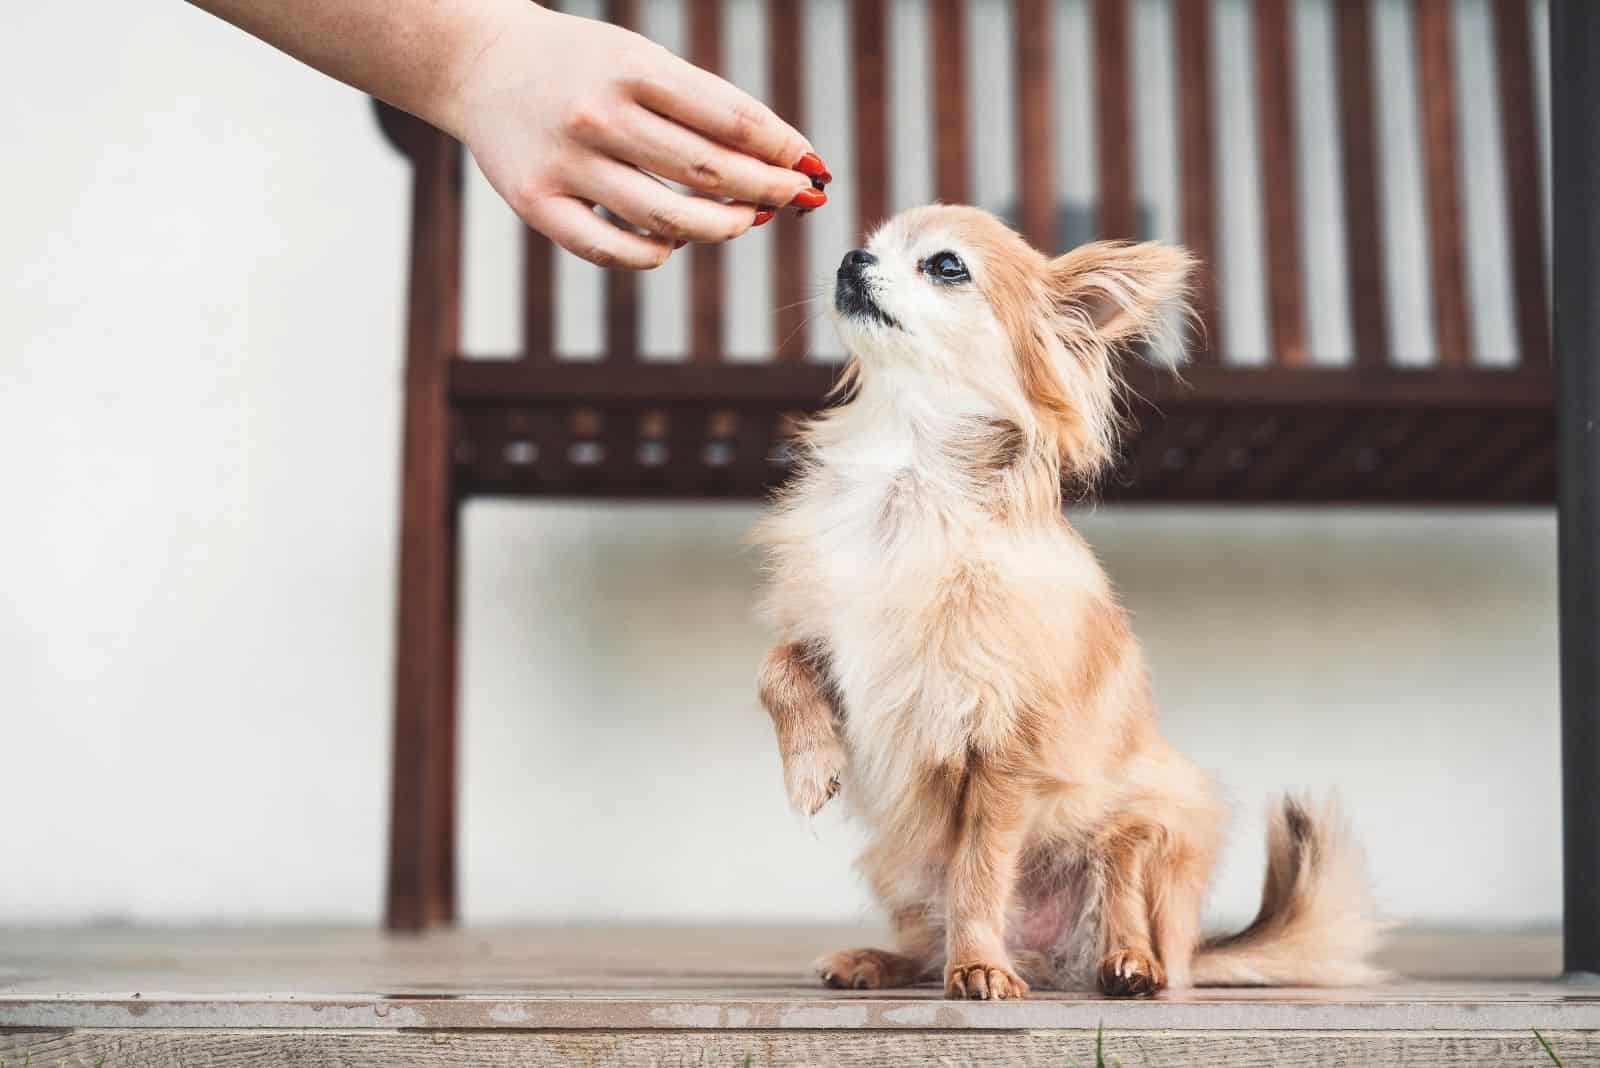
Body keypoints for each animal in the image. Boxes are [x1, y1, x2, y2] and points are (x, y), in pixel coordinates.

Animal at [755, 206, 1382, 1004]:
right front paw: (809, 768)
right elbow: (777, 668)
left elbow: (980, 872)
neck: (909, 479)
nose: (849, 260)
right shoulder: (831, 634)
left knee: (1128, 900)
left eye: (946, 266)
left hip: (1153, 821)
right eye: (870, 243)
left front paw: (980, 966)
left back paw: (1125, 966)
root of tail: (1052, 959)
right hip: (900, 862)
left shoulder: (1000, 749)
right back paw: (880, 960)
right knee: (926, 939)